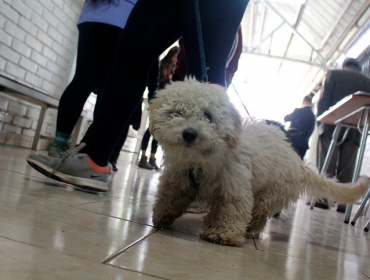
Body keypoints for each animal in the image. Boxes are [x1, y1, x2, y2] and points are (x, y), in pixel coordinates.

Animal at [148, 77, 370, 246]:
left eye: (208, 116)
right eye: (177, 112)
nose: (189, 133)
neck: (202, 159)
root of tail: (298, 163)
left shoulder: (234, 184)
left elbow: (233, 207)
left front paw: (224, 234)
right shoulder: (179, 175)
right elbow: (171, 194)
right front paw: (162, 214)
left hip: (271, 193)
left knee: (258, 214)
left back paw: (245, 228)